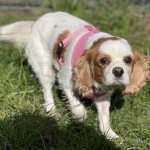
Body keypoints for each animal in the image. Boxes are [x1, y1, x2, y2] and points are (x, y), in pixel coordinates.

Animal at [0, 11, 149, 139]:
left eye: (128, 60)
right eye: (103, 61)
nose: (118, 71)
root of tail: (35, 22)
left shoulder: (103, 95)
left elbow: (104, 116)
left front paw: (108, 134)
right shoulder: (65, 82)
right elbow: (78, 109)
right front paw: (79, 119)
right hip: (44, 66)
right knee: (47, 90)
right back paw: (51, 110)